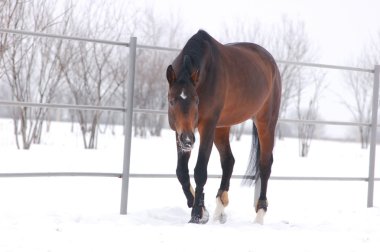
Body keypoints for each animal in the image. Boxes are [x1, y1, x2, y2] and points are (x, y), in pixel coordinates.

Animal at [165, 30, 280, 224]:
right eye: (172, 101)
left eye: (196, 101)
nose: (188, 140)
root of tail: (271, 63)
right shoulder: (179, 131)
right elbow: (181, 171)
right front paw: (201, 209)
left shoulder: (207, 126)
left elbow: (200, 171)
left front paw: (196, 215)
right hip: (222, 127)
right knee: (228, 161)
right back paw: (220, 208)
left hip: (266, 123)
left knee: (265, 165)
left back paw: (259, 215)